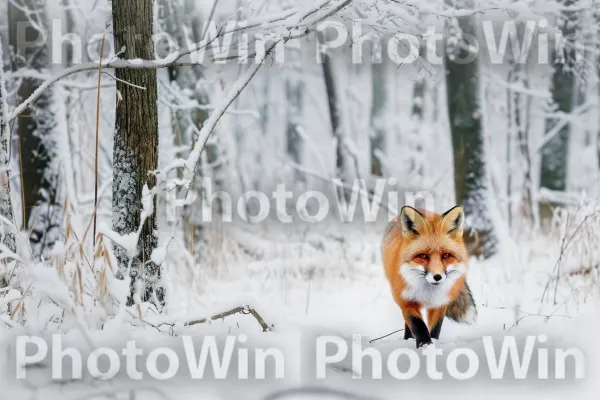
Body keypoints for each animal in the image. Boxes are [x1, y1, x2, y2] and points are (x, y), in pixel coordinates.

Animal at [382, 206, 476, 346]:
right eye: (423, 256)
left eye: (446, 255)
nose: (437, 277)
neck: (428, 293)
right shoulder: (406, 300)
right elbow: (417, 325)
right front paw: (425, 344)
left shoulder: (440, 303)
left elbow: (436, 327)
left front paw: (433, 343)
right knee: (408, 325)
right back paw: (408, 339)